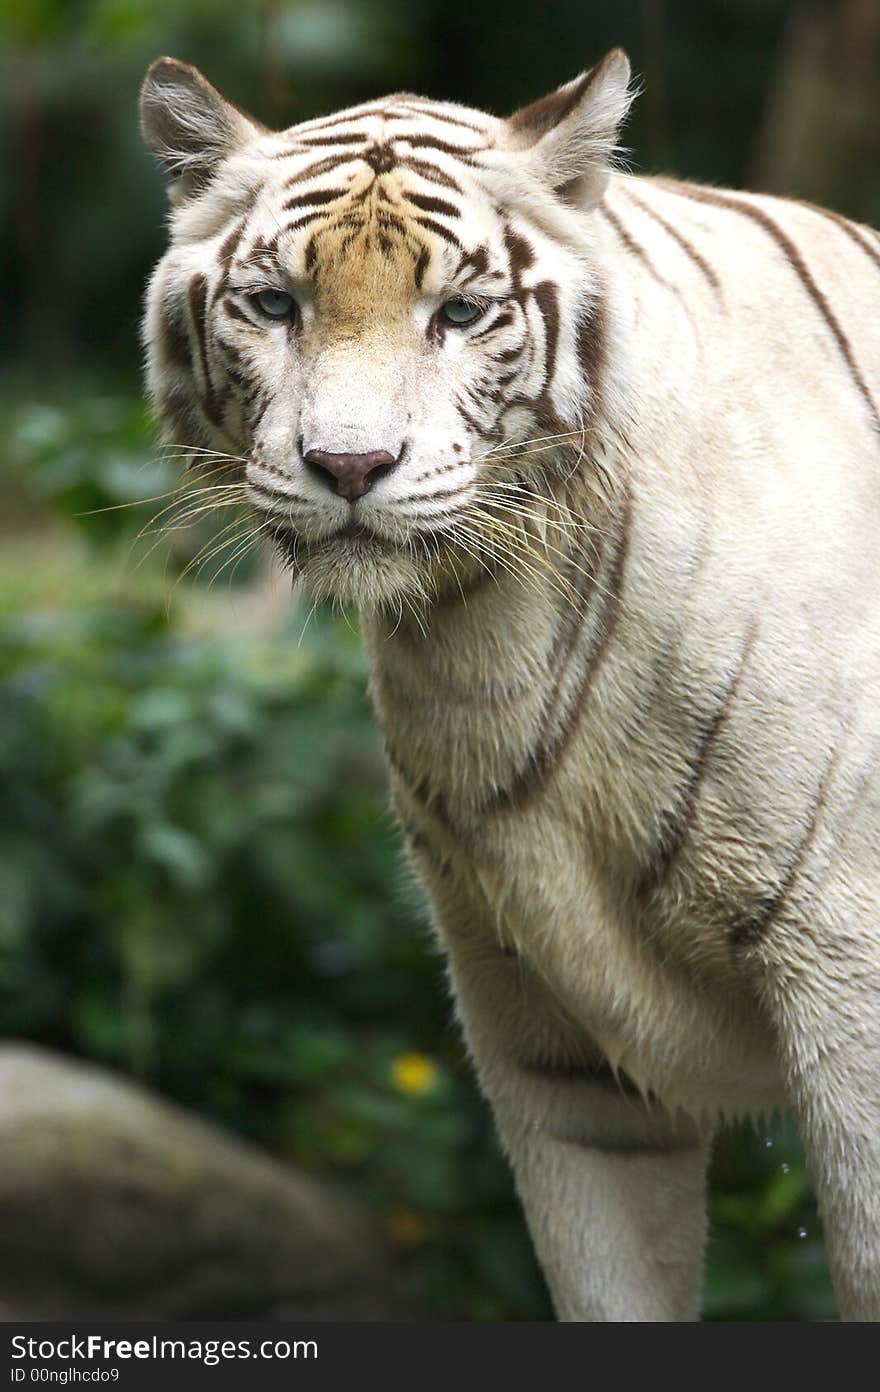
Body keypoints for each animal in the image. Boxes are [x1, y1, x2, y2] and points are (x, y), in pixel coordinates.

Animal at [137, 49, 880, 1319]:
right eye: (275, 305)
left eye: (461, 313)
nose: (348, 465)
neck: (492, 632)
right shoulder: (541, 1027)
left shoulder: (849, 977)